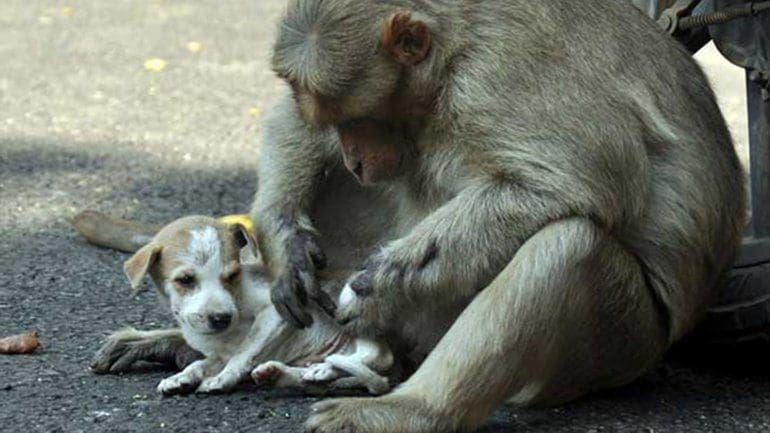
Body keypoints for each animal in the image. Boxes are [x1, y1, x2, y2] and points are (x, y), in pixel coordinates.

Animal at [111, 215, 392, 394]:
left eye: (232, 275)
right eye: (185, 280)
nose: (221, 318)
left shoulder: (274, 313)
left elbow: (244, 351)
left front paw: (223, 379)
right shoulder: (218, 353)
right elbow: (199, 364)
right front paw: (181, 377)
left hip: (350, 304)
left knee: (377, 357)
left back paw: (322, 369)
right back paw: (294, 373)